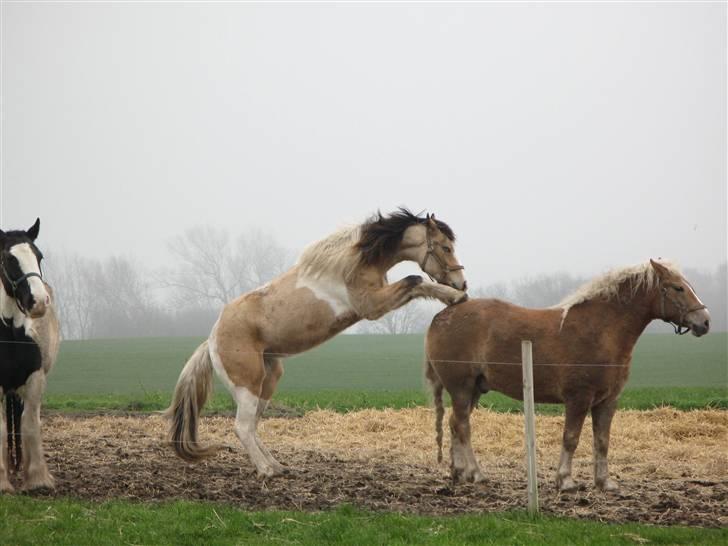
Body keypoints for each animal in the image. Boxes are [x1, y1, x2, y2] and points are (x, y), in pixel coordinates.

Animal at [166, 208, 466, 476]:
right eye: (446, 247)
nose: (461, 283)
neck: (357, 260)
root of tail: (211, 341)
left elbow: (418, 284)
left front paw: (454, 298)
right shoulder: (372, 307)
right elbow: (415, 280)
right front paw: (453, 296)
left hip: (268, 380)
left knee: (251, 425)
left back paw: (278, 466)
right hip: (247, 384)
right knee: (242, 427)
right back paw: (266, 471)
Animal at [426, 258, 712, 488]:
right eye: (677, 287)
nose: (705, 321)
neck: (600, 330)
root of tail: (444, 314)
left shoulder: (607, 401)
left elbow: (602, 441)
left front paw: (604, 482)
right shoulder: (578, 398)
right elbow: (571, 438)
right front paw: (565, 481)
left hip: (475, 389)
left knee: (454, 424)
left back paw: (460, 472)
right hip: (462, 388)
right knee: (463, 427)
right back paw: (477, 473)